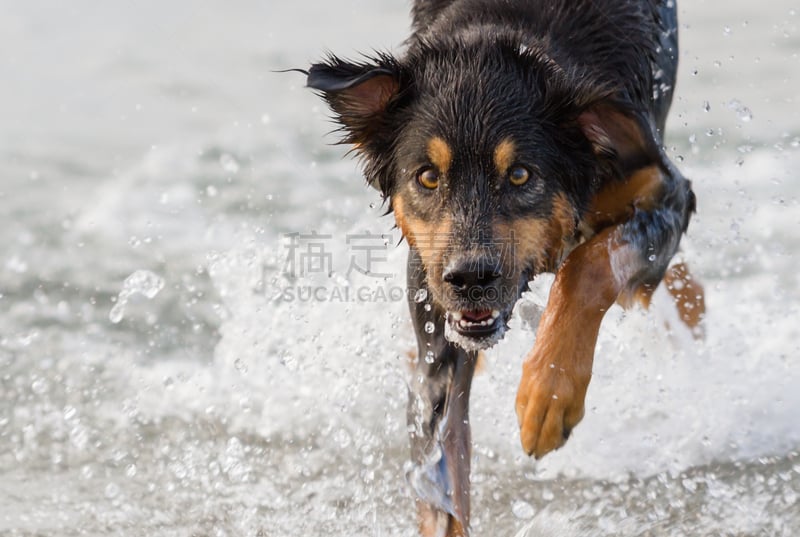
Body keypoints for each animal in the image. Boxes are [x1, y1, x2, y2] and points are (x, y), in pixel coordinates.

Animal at [304, 1, 704, 536]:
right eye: (427, 177)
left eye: (519, 175)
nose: (469, 279)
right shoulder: (437, 327)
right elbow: (443, 467)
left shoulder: (666, 190)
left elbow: (590, 266)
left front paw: (548, 393)